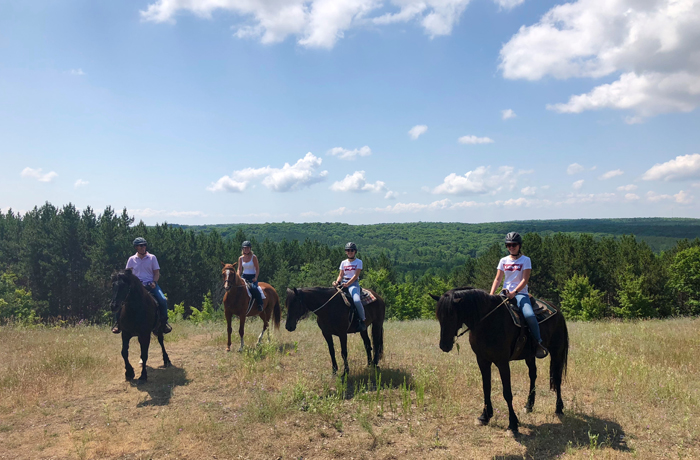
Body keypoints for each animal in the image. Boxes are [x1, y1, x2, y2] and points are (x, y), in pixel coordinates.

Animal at [432, 288, 568, 434]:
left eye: (452, 315)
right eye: (439, 317)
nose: (444, 346)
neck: (488, 322)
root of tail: (558, 311)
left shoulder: (502, 362)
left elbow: (507, 392)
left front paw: (512, 424)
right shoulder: (482, 360)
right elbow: (486, 387)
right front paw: (484, 416)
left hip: (556, 351)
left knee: (557, 378)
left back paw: (559, 408)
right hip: (529, 355)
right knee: (533, 375)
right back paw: (529, 405)